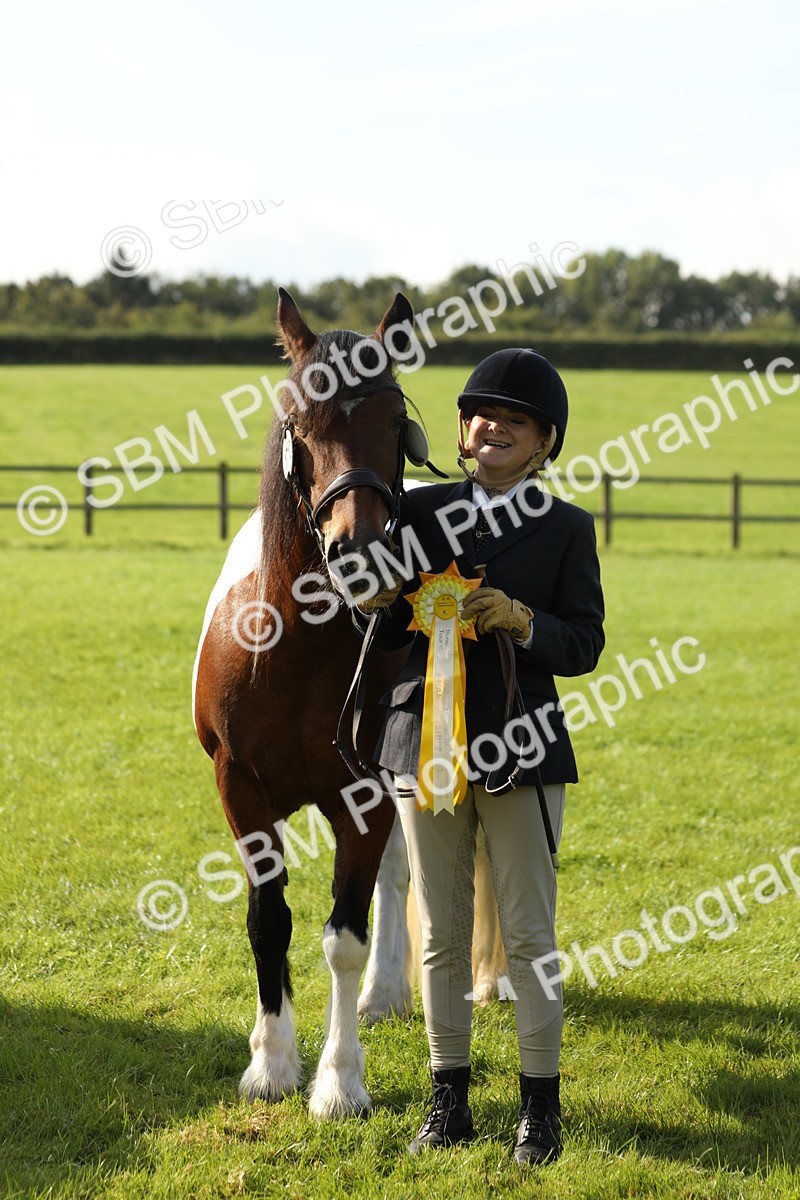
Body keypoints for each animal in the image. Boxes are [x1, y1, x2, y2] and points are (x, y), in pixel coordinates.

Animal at [192, 288, 506, 1120]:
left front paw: (339, 1081)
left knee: (404, 881)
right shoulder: (241, 790)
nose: (361, 554)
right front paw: (271, 1063)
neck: (292, 650)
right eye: (298, 424)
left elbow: (344, 933)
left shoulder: (362, 798)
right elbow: (268, 920)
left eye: (395, 421)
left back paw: (407, 990)